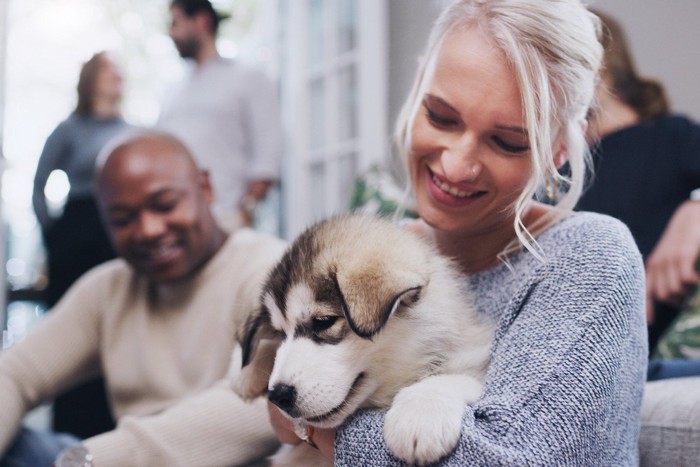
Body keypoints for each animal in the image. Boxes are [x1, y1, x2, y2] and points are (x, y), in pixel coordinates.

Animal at [230, 214, 492, 466]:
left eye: (323, 321)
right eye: (280, 333)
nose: (278, 395)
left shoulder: (472, 356)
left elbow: (451, 377)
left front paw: (420, 415)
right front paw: (245, 371)